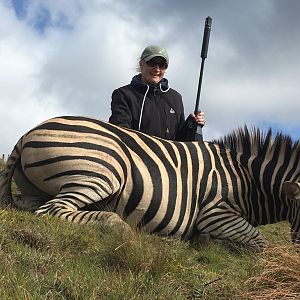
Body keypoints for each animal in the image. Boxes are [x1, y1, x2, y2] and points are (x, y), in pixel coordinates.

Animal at [0, 115, 298, 248]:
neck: (246, 181)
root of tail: (28, 133)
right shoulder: (216, 213)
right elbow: (259, 242)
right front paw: (211, 243)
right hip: (103, 170)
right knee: (51, 210)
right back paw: (117, 225)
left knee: (30, 204)